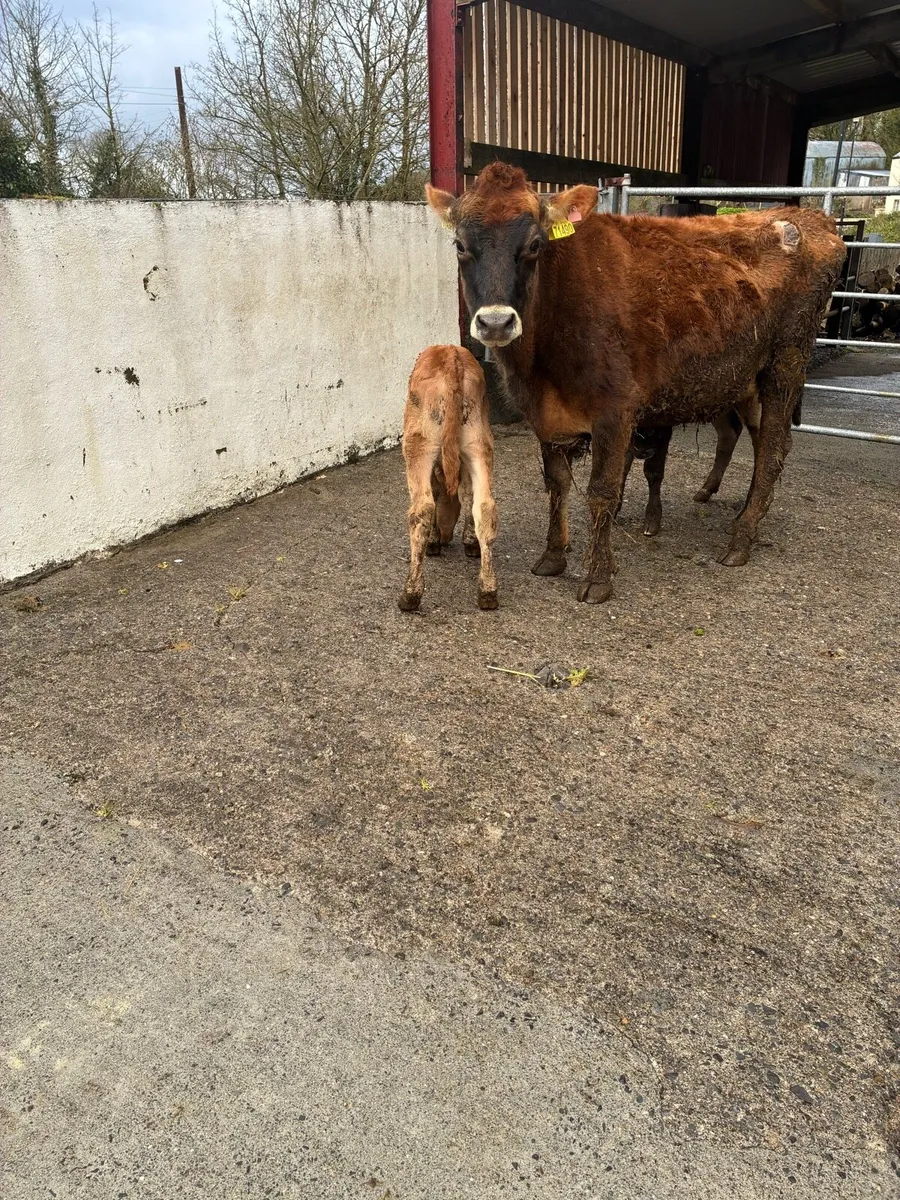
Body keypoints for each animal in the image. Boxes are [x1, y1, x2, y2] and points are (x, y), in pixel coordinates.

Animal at [398, 345, 498, 612]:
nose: (445, 537)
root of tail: (451, 355)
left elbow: (434, 496)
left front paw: (434, 541)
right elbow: (469, 495)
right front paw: (470, 542)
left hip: (419, 445)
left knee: (422, 509)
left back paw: (410, 595)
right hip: (479, 444)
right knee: (485, 507)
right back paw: (488, 591)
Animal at [426, 164, 845, 602]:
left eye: (535, 244)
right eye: (459, 245)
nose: (495, 322)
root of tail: (812, 219)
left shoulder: (615, 410)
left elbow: (602, 490)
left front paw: (597, 576)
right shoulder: (547, 417)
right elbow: (557, 485)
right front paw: (553, 556)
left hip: (786, 362)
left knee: (773, 450)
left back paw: (741, 540)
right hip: (746, 379)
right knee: (761, 439)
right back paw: (742, 517)